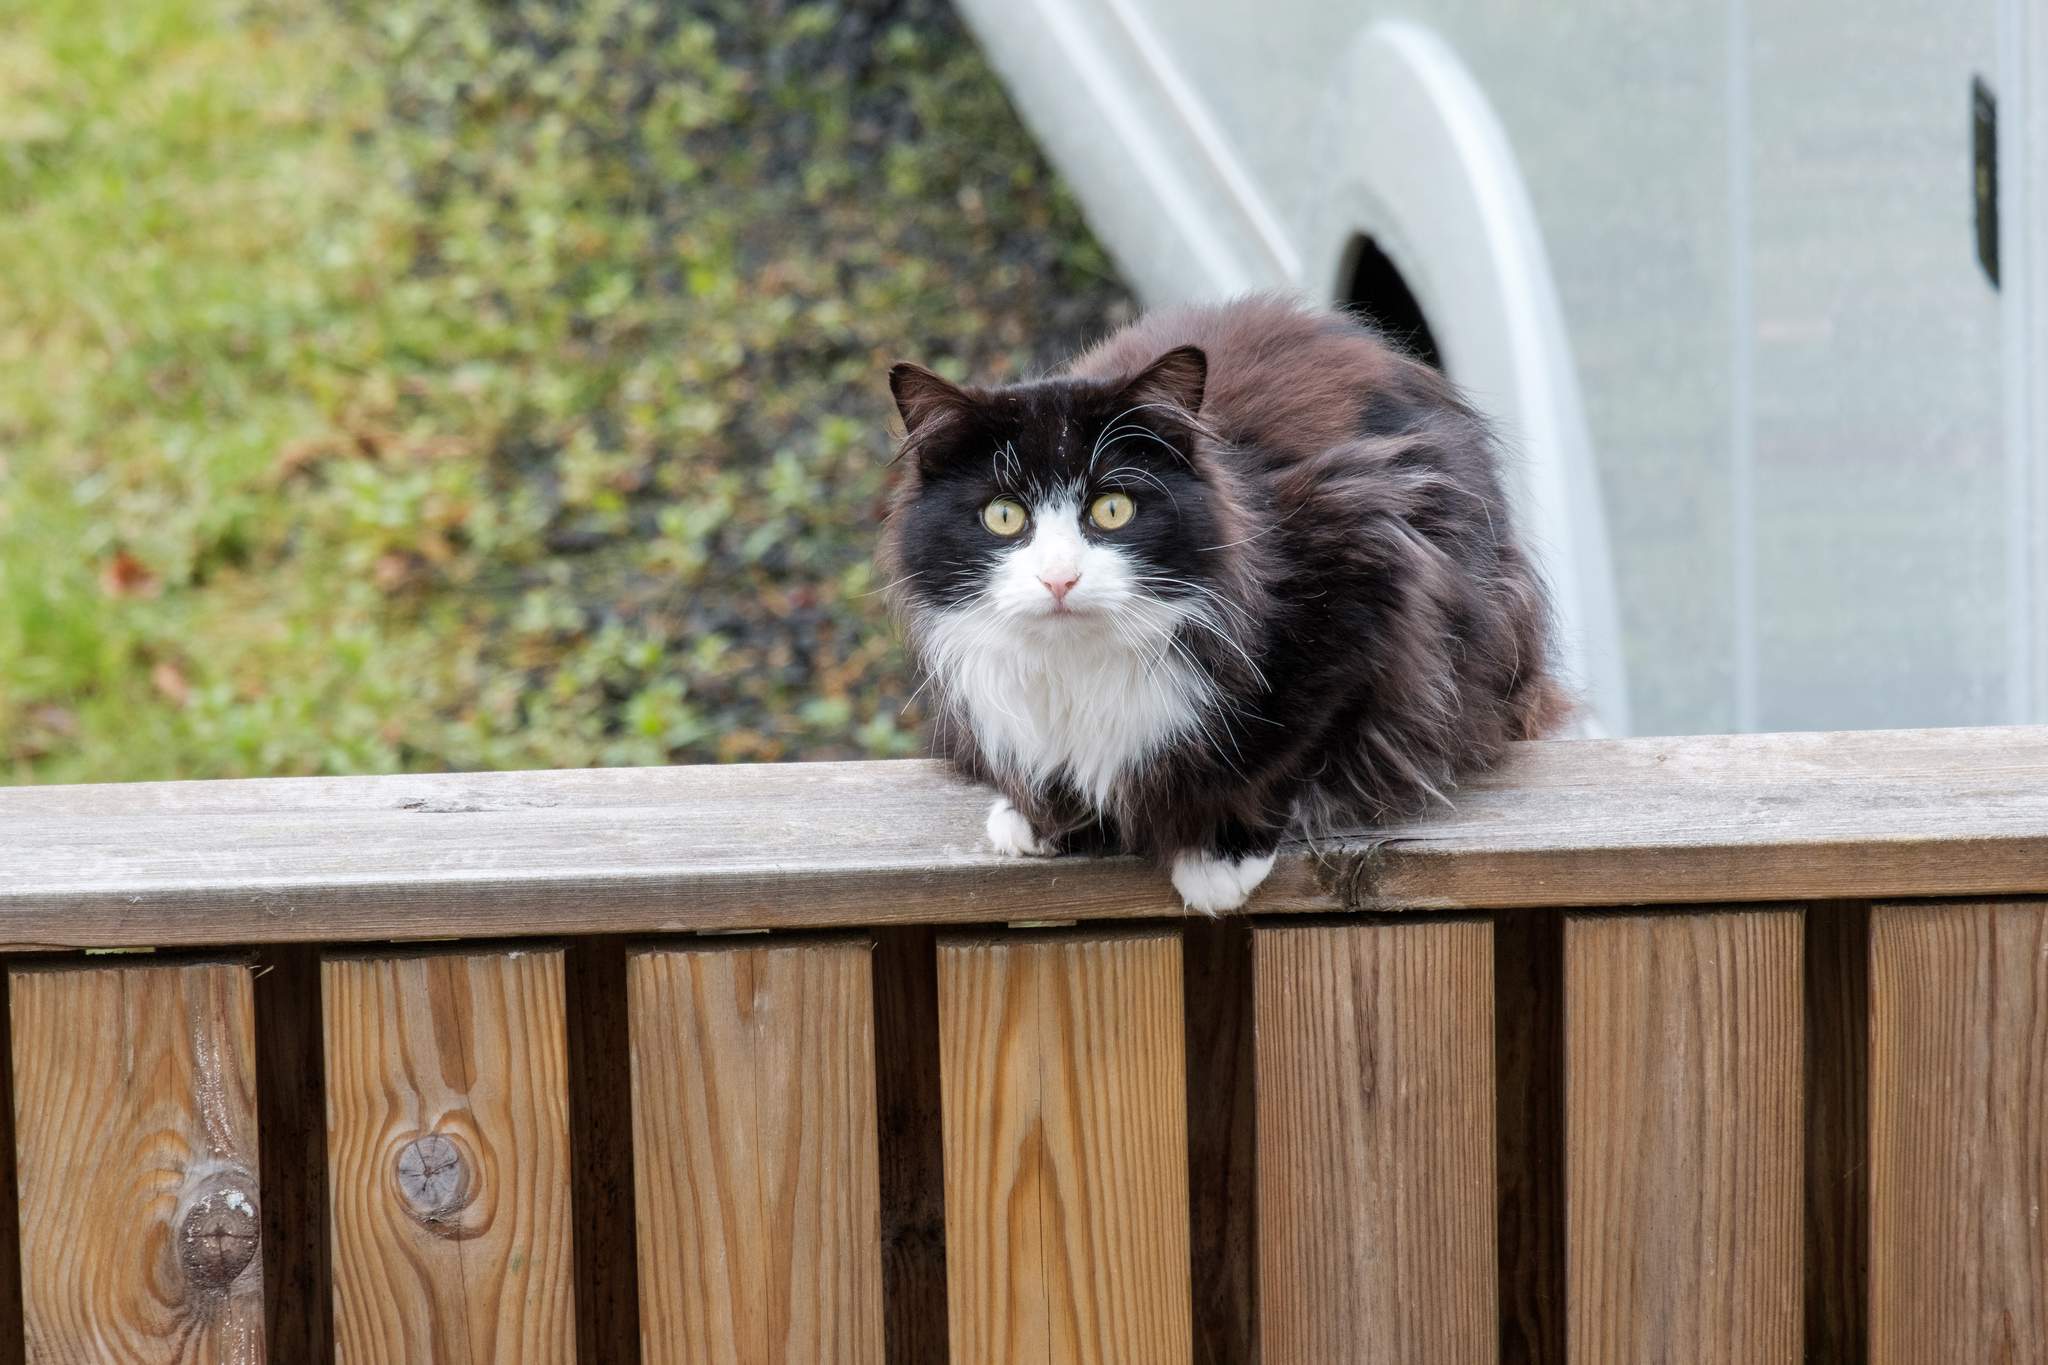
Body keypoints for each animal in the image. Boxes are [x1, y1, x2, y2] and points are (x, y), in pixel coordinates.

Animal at [880, 294, 1564, 912]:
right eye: (1003, 516)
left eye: (1112, 509)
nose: (1059, 580)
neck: (1081, 664)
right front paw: (1037, 819)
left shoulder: (1373, 560)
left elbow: (1288, 750)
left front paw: (1218, 855)